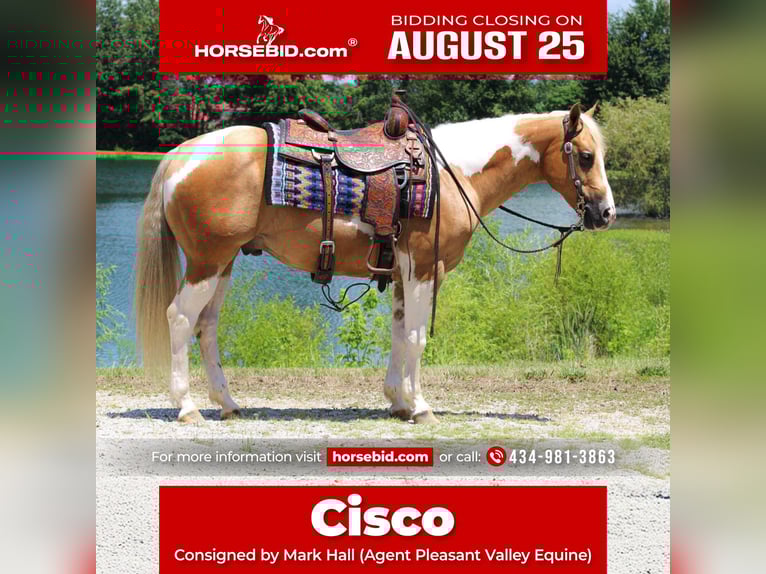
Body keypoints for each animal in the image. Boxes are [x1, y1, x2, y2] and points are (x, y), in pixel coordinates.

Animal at [134, 103, 615, 424]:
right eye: (586, 156)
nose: (606, 214)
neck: (453, 175)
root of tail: (182, 155)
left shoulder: (403, 273)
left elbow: (400, 335)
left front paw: (398, 402)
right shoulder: (424, 268)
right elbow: (418, 338)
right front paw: (420, 408)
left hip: (223, 263)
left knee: (207, 325)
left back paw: (229, 404)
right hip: (207, 261)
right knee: (180, 318)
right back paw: (187, 407)